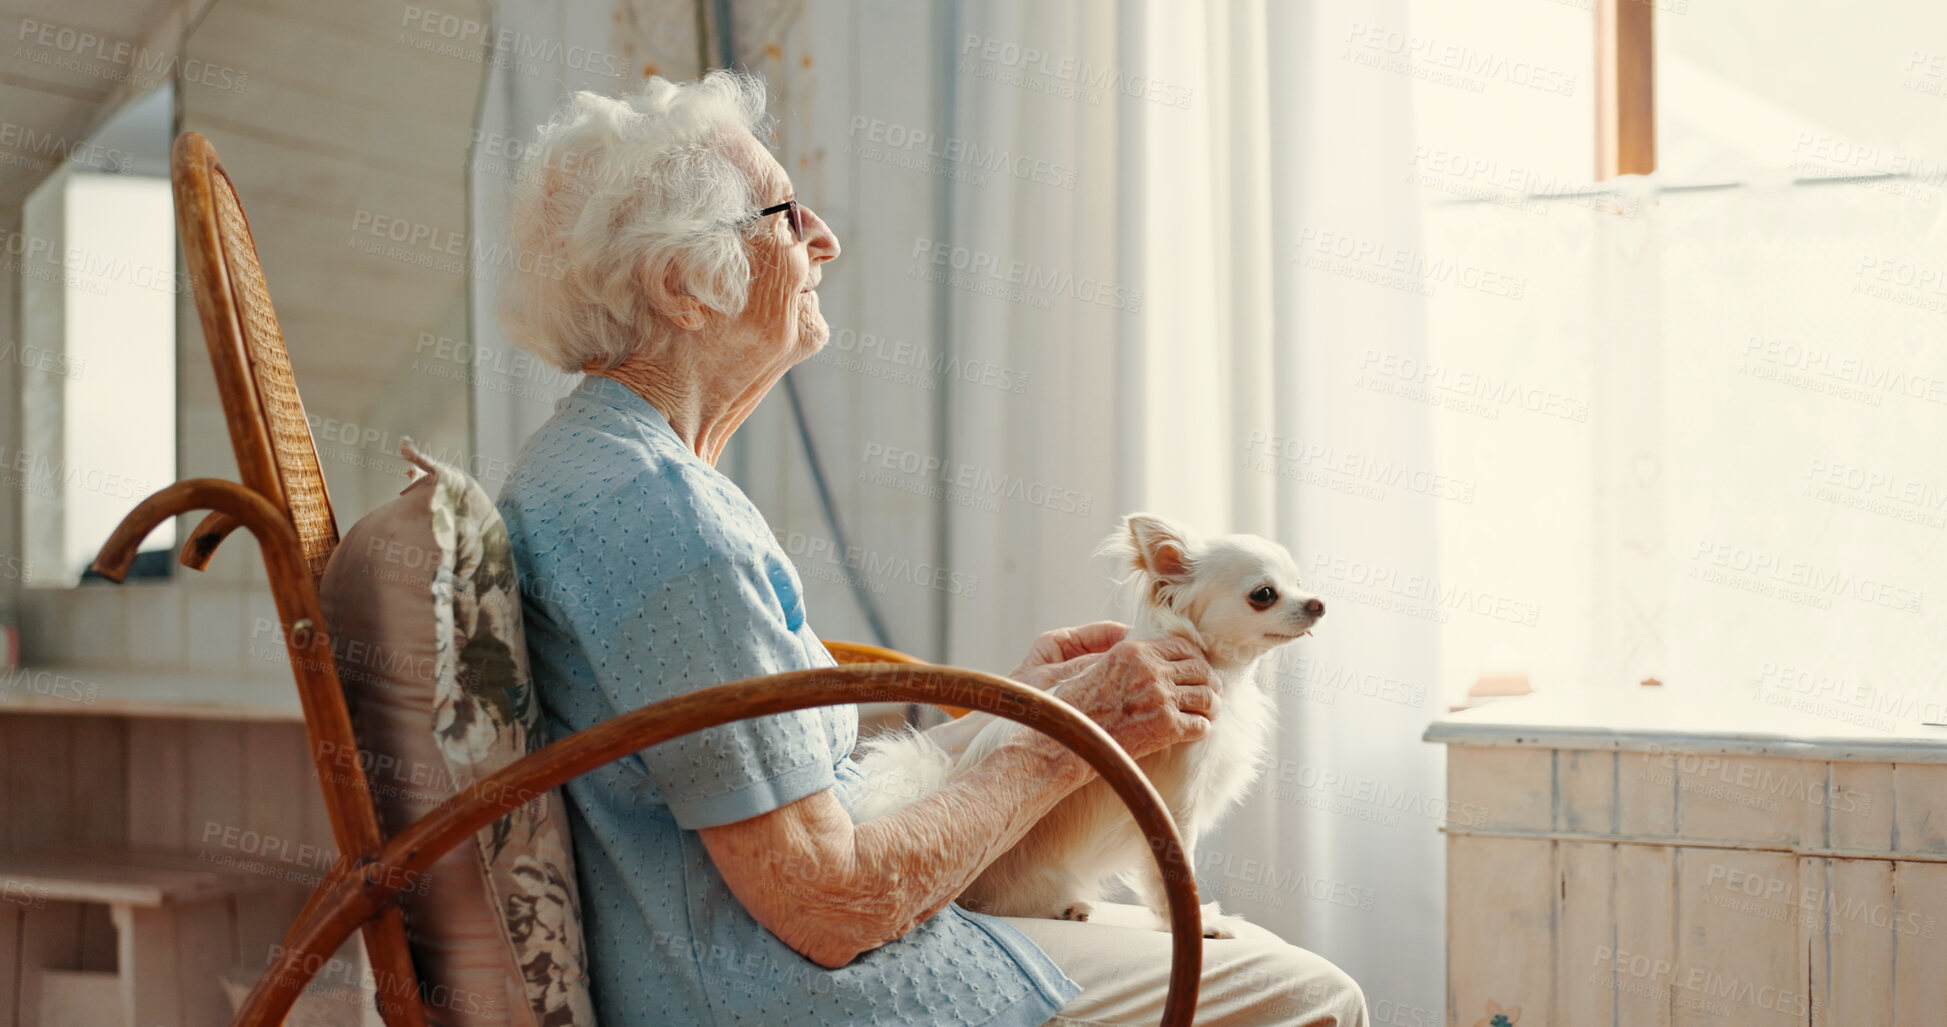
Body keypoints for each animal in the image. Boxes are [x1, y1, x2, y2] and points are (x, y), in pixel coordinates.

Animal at [852, 514, 1323, 939]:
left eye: (1301, 582)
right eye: (1264, 594)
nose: (1318, 603)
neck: (1224, 672)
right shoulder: (1175, 807)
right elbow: (1169, 876)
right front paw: (1194, 923)